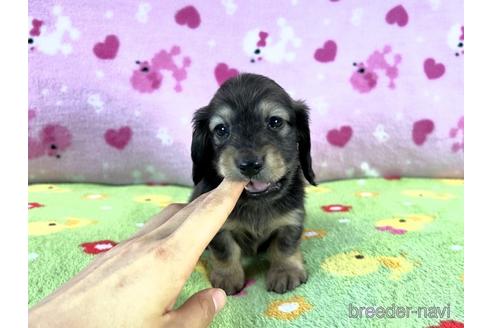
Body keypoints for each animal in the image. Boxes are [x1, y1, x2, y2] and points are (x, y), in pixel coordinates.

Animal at [188, 73, 316, 294]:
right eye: (221, 129)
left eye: (275, 121)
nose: (249, 165)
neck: (256, 202)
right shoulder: (219, 227)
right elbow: (225, 249)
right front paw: (228, 277)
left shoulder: (291, 218)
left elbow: (285, 244)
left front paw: (285, 271)